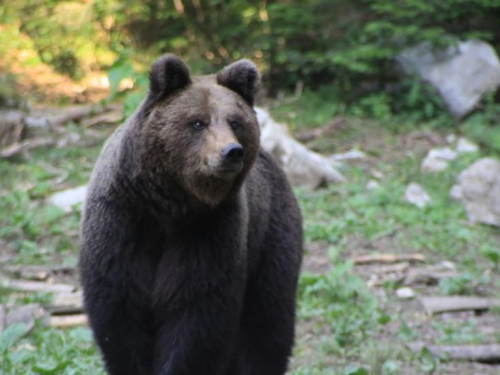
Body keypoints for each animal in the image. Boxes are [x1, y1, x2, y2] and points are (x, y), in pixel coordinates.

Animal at [80, 55, 302, 375]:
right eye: (198, 122)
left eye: (235, 121)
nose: (231, 151)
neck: (169, 204)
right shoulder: (120, 223)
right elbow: (120, 317)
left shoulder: (210, 230)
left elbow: (195, 315)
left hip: (270, 237)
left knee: (267, 320)